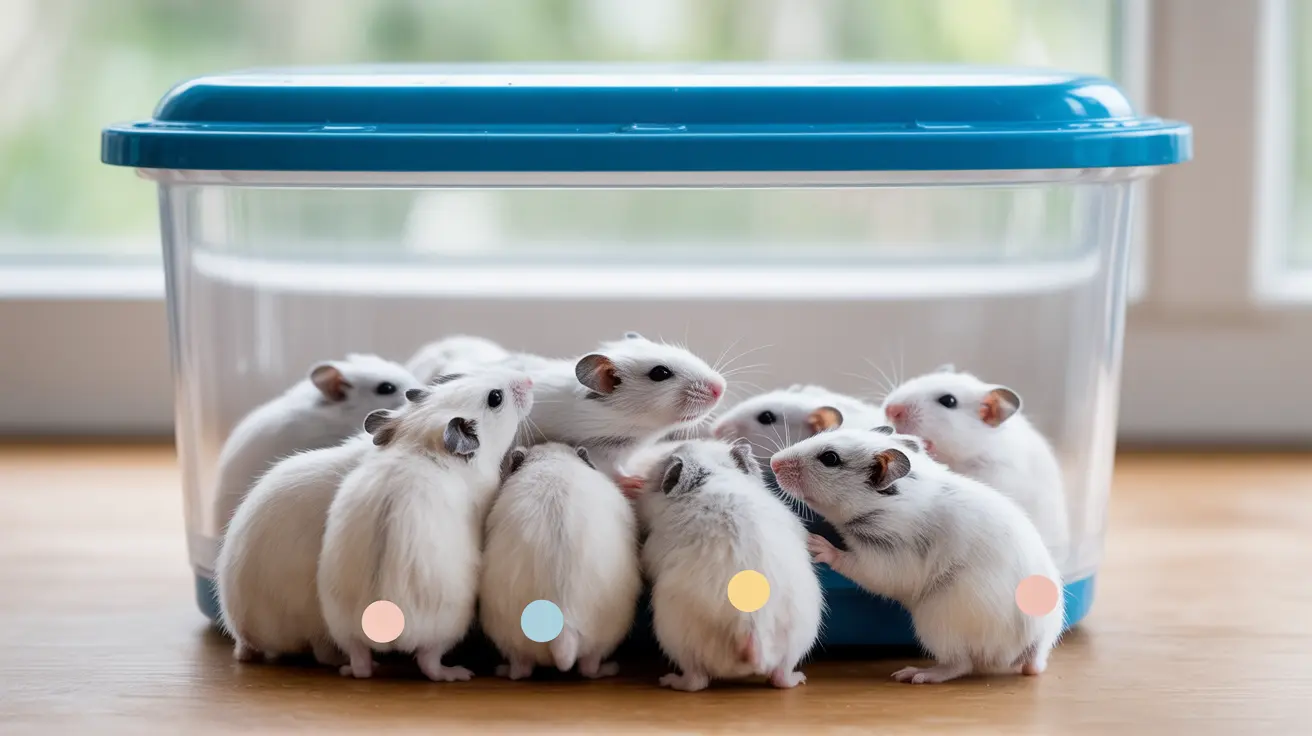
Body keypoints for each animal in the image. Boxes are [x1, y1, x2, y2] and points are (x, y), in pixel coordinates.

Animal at [317, 367, 534, 681]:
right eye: (496, 398)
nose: (529, 380)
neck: (421, 441)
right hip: (448, 626)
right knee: (428, 662)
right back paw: (457, 673)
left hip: (342, 628)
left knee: (360, 663)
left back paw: (352, 668)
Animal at [636, 439, 822, 692]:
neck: (714, 473)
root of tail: (750, 627)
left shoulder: (652, 546)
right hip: (799, 638)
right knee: (781, 677)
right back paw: (799, 678)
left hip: (675, 638)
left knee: (696, 681)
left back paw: (668, 681)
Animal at [770, 426, 1064, 684]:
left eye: (829, 458)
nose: (773, 462)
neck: (890, 501)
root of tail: (1030, 645)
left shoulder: (888, 557)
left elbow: (858, 565)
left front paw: (817, 544)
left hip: (936, 622)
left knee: (960, 665)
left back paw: (917, 674)